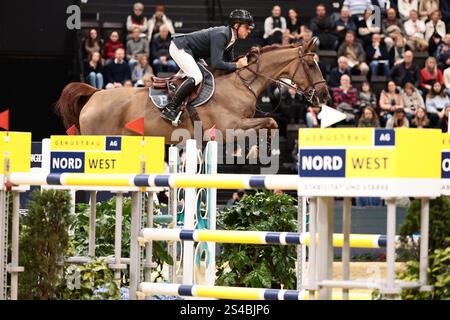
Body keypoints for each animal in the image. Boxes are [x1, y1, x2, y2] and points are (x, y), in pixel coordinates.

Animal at [56, 38, 330, 143]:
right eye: (310, 64)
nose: (325, 95)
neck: (241, 85)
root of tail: (94, 94)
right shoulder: (229, 127)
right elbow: (271, 121)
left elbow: (269, 123)